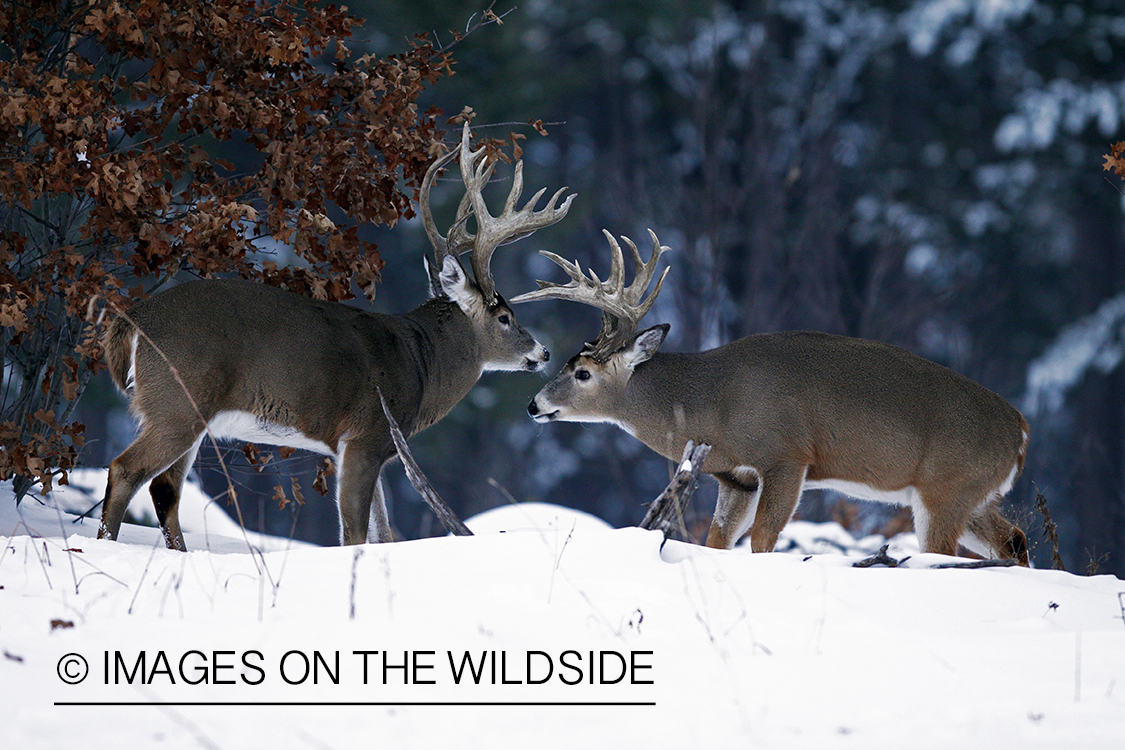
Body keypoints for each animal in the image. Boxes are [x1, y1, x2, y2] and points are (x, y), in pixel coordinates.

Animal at [101, 122, 576, 546]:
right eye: (505, 316)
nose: (543, 352)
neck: (421, 363)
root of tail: (133, 318)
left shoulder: (365, 448)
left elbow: (381, 533)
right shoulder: (366, 435)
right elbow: (354, 535)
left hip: (183, 413)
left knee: (164, 489)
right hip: (179, 401)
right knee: (126, 470)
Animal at [515, 231, 1030, 566]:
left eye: (582, 372)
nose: (535, 406)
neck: (711, 402)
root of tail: (1021, 431)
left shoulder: (786, 454)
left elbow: (763, 539)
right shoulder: (735, 476)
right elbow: (717, 539)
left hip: (945, 487)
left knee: (945, 552)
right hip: (973, 493)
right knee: (1015, 540)